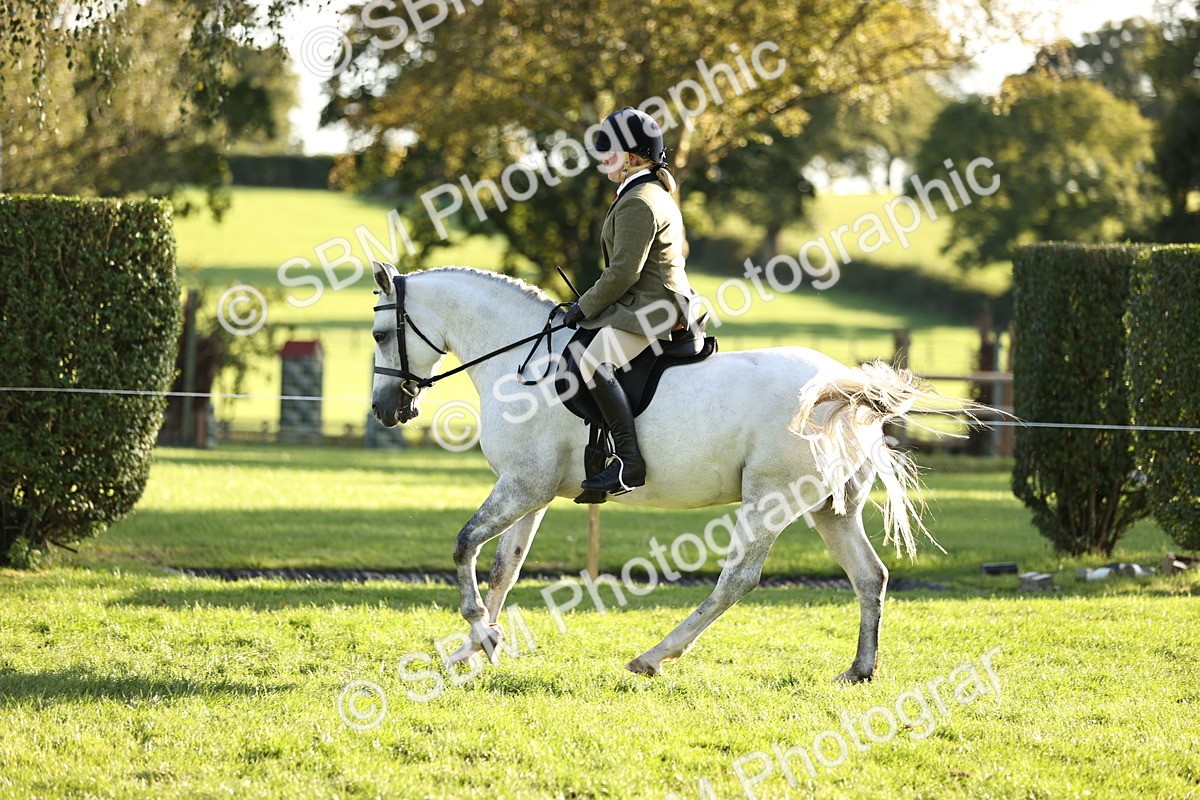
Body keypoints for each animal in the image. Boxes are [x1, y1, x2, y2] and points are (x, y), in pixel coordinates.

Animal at [369, 261, 960, 682]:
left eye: (378, 334)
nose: (384, 409)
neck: (521, 363)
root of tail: (840, 384)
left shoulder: (522, 486)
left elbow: (464, 545)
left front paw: (483, 639)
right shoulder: (533, 492)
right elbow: (503, 570)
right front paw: (472, 651)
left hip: (770, 500)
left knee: (737, 579)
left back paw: (653, 656)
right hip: (831, 508)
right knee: (869, 576)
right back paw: (860, 670)